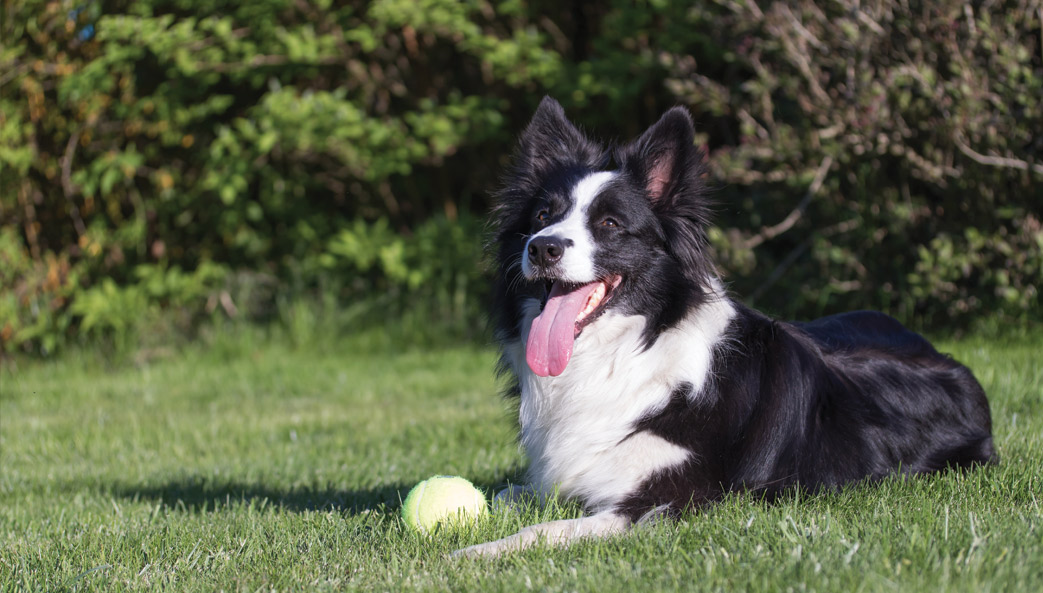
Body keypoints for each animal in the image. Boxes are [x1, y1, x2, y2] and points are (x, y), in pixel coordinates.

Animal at [454, 96, 992, 554]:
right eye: (543, 215)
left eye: (609, 224)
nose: (542, 247)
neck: (628, 350)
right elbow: (503, 493)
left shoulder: (669, 501)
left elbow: (543, 529)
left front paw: (469, 554)